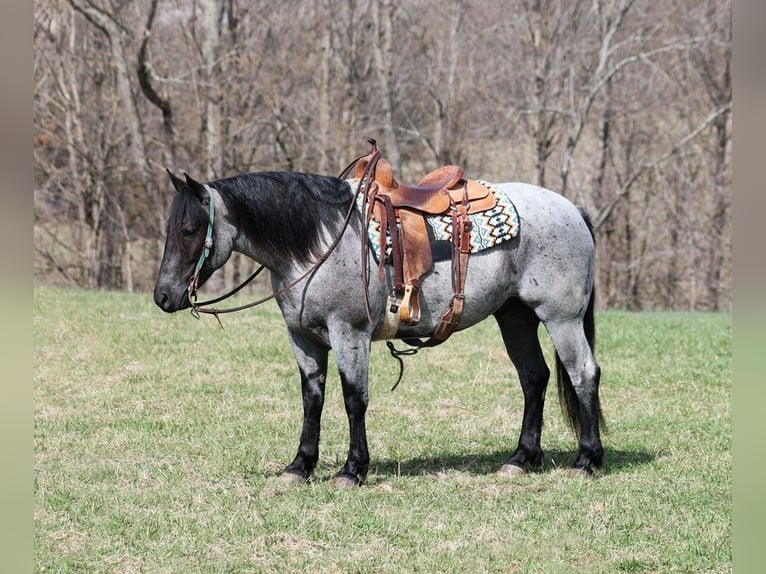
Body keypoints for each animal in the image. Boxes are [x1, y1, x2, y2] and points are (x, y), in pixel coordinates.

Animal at [154, 163, 608, 490]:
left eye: (190, 229)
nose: (163, 296)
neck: (318, 243)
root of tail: (573, 210)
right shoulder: (303, 338)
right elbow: (312, 400)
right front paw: (300, 466)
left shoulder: (349, 334)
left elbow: (354, 399)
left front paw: (352, 470)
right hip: (515, 317)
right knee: (534, 378)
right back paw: (520, 459)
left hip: (561, 318)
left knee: (583, 374)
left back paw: (586, 459)